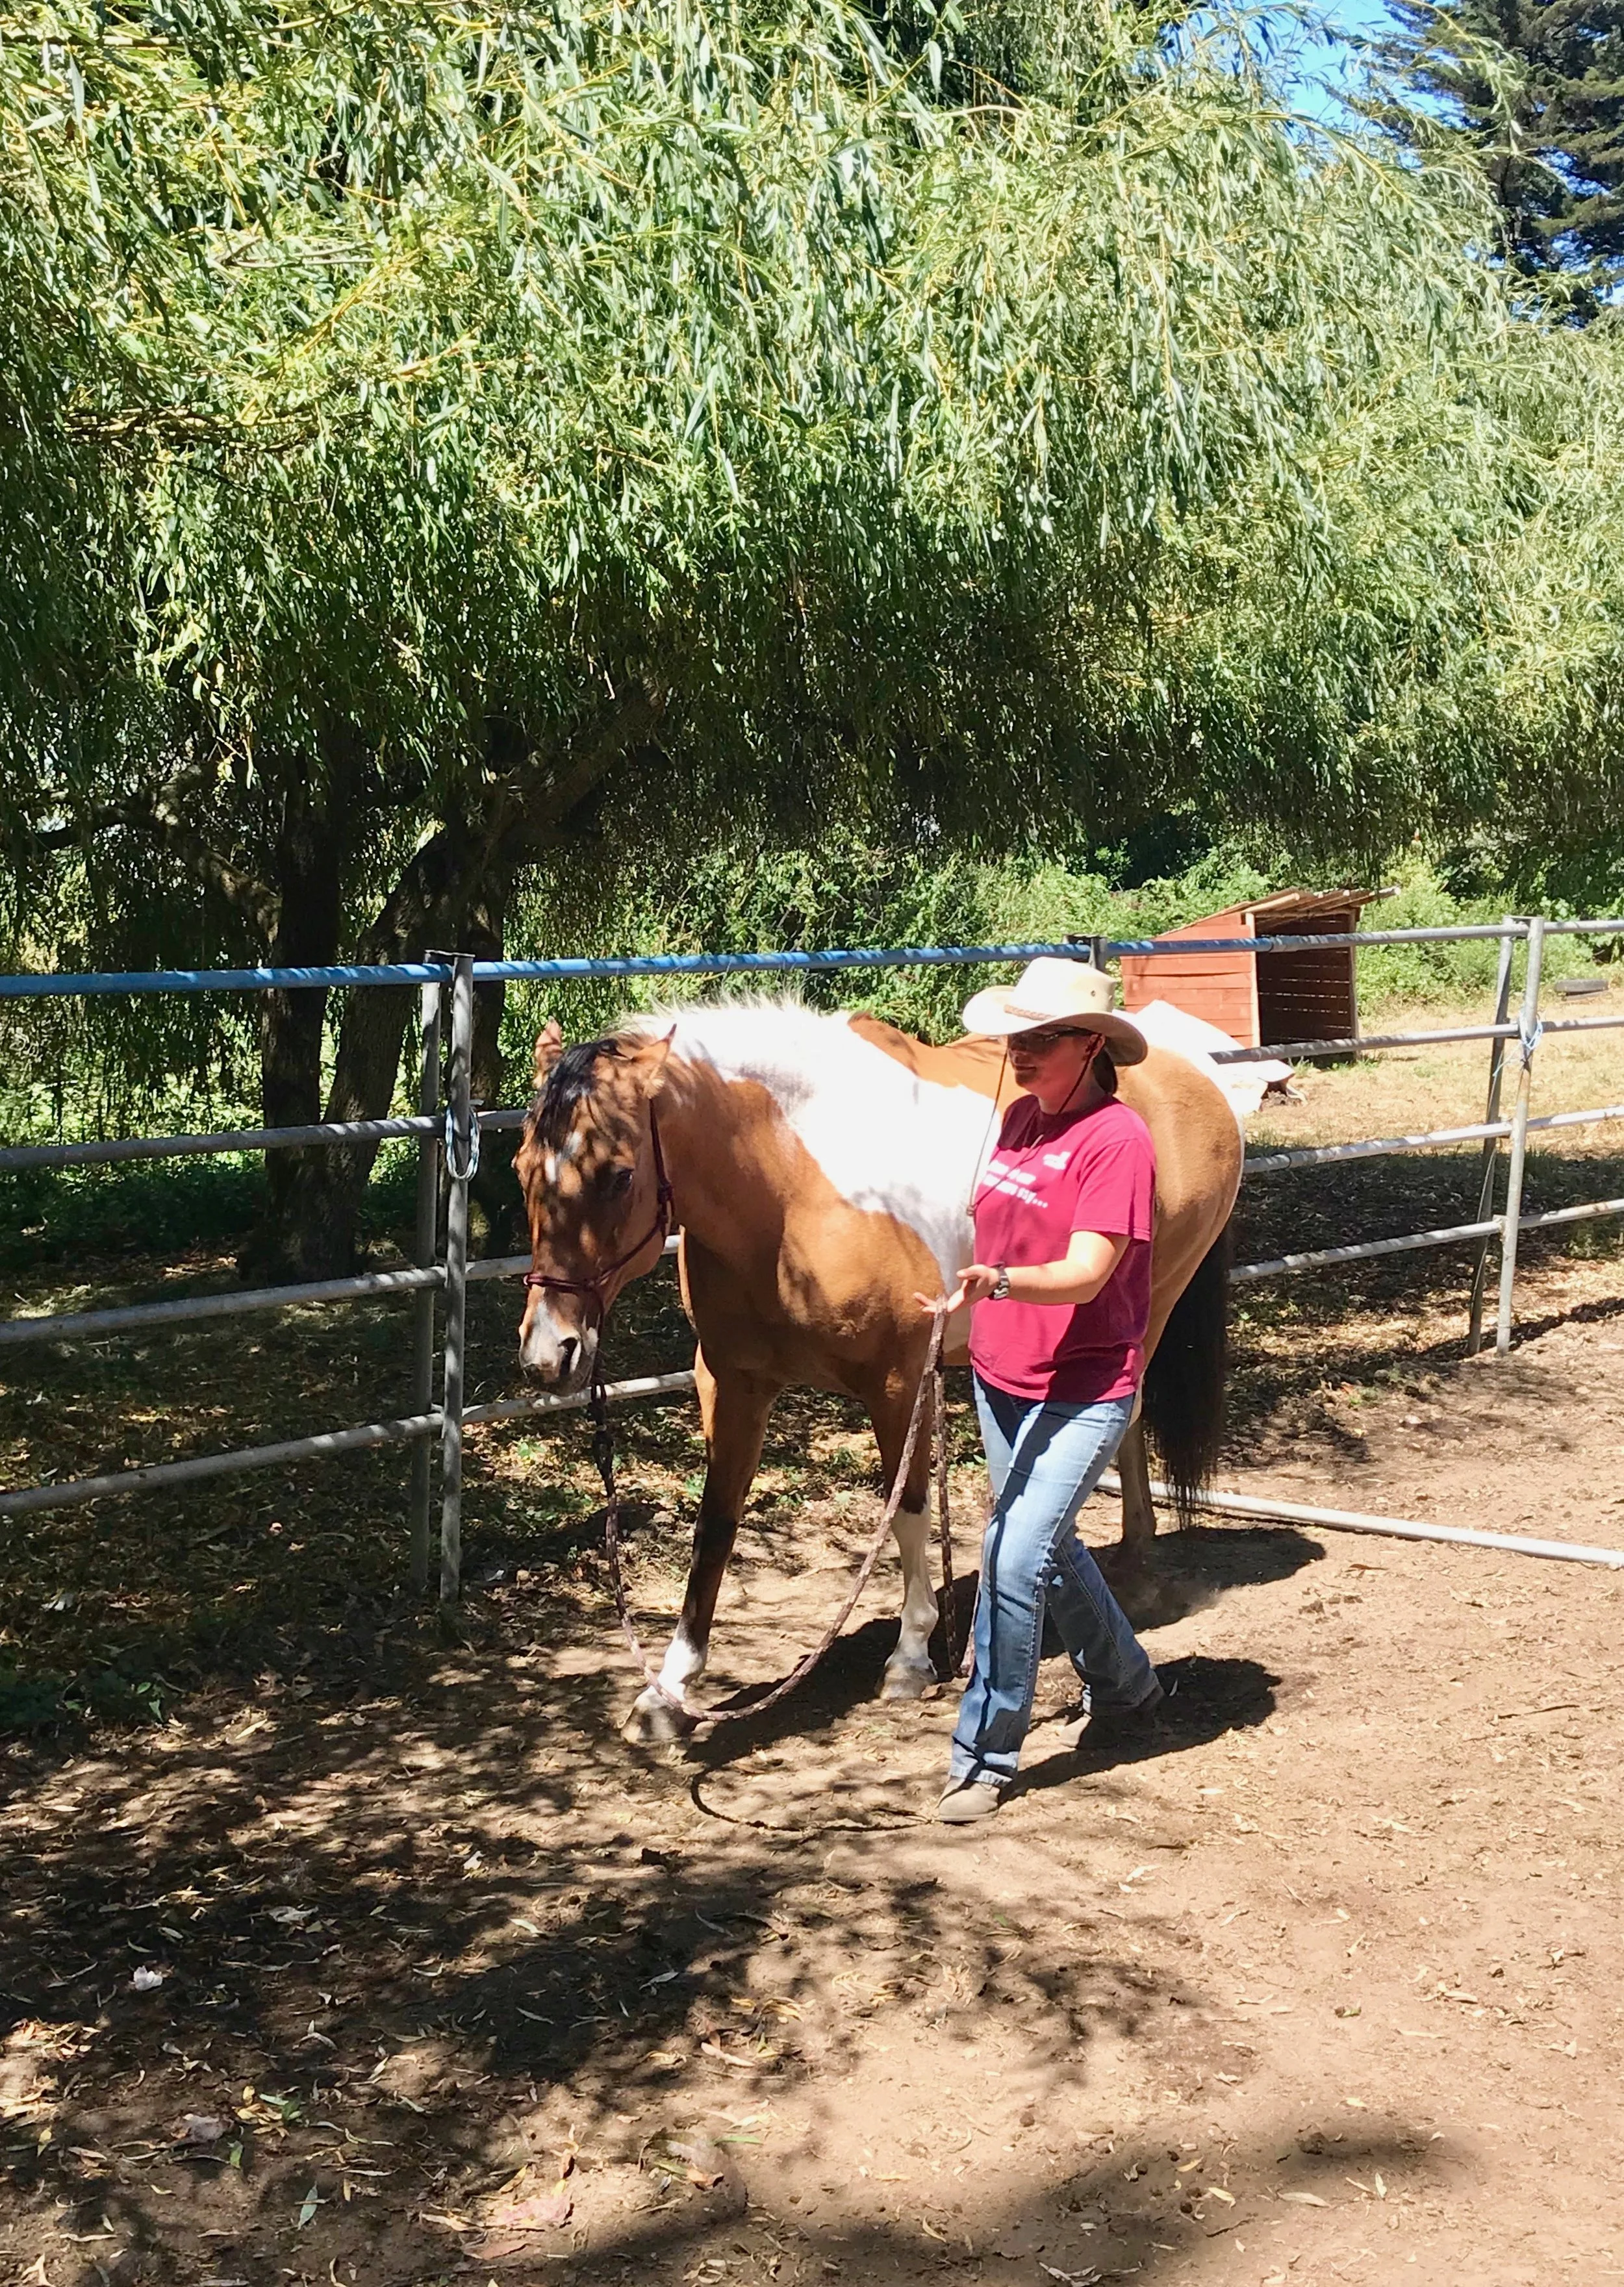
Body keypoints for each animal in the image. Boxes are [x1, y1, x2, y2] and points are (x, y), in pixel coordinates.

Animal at [515, 996, 1242, 1741]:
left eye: (618, 1174)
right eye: (520, 1168)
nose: (549, 1354)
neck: (791, 1189)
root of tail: (1196, 1076)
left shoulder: (898, 1383)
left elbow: (908, 1510)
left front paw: (911, 1656)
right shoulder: (730, 1381)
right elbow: (715, 1524)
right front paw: (667, 1690)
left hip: (1150, 1308)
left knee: (1123, 1418)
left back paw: (1136, 1571)